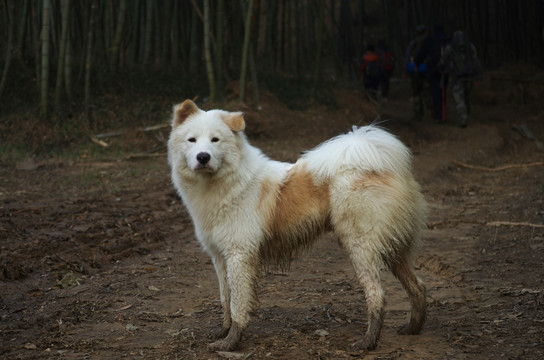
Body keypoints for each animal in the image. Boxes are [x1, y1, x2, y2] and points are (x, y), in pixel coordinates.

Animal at [168, 100, 428, 352]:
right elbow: (225, 299)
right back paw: (413, 328)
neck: (226, 183)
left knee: (377, 296)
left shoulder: (239, 255)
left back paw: (368, 342)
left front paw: (230, 343)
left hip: (361, 246)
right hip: (392, 248)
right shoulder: (220, 257)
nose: (203, 157)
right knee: (418, 286)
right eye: (192, 140)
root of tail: (380, 164)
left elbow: (238, 304)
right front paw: (223, 331)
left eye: (215, 140)